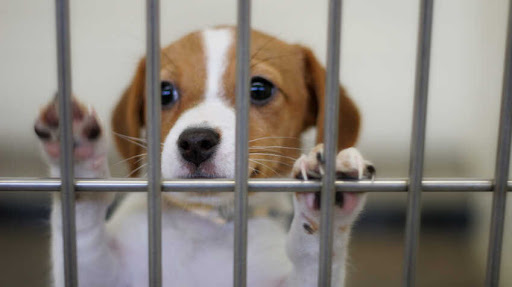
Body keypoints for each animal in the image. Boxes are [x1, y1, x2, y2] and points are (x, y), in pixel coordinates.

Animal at [35, 27, 372, 287]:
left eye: (260, 89)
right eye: (164, 92)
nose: (196, 142)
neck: (207, 226)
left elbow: (311, 255)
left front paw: (325, 203)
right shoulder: (96, 274)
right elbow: (82, 230)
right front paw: (78, 160)